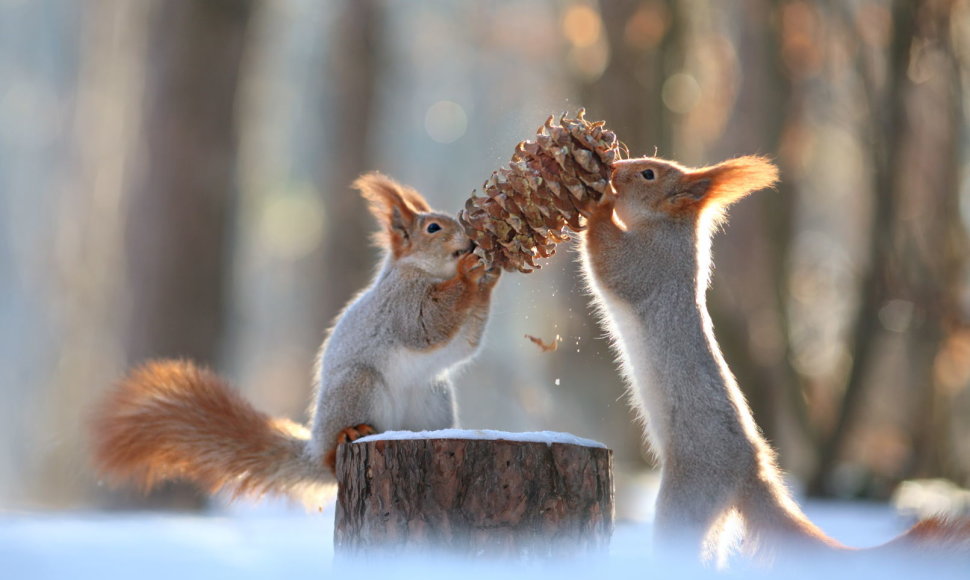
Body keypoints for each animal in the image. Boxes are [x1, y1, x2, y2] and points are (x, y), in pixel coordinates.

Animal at [91, 172, 500, 502]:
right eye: (433, 228)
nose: (470, 239)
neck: (427, 273)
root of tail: (315, 447)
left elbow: (465, 344)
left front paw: (489, 276)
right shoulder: (399, 304)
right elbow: (425, 326)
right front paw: (470, 271)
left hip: (433, 396)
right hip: (357, 385)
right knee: (333, 457)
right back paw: (346, 437)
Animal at [580, 156, 964, 564]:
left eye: (648, 174)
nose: (615, 166)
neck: (670, 230)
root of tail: (751, 471)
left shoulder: (647, 267)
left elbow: (608, 260)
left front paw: (601, 202)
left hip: (688, 497)